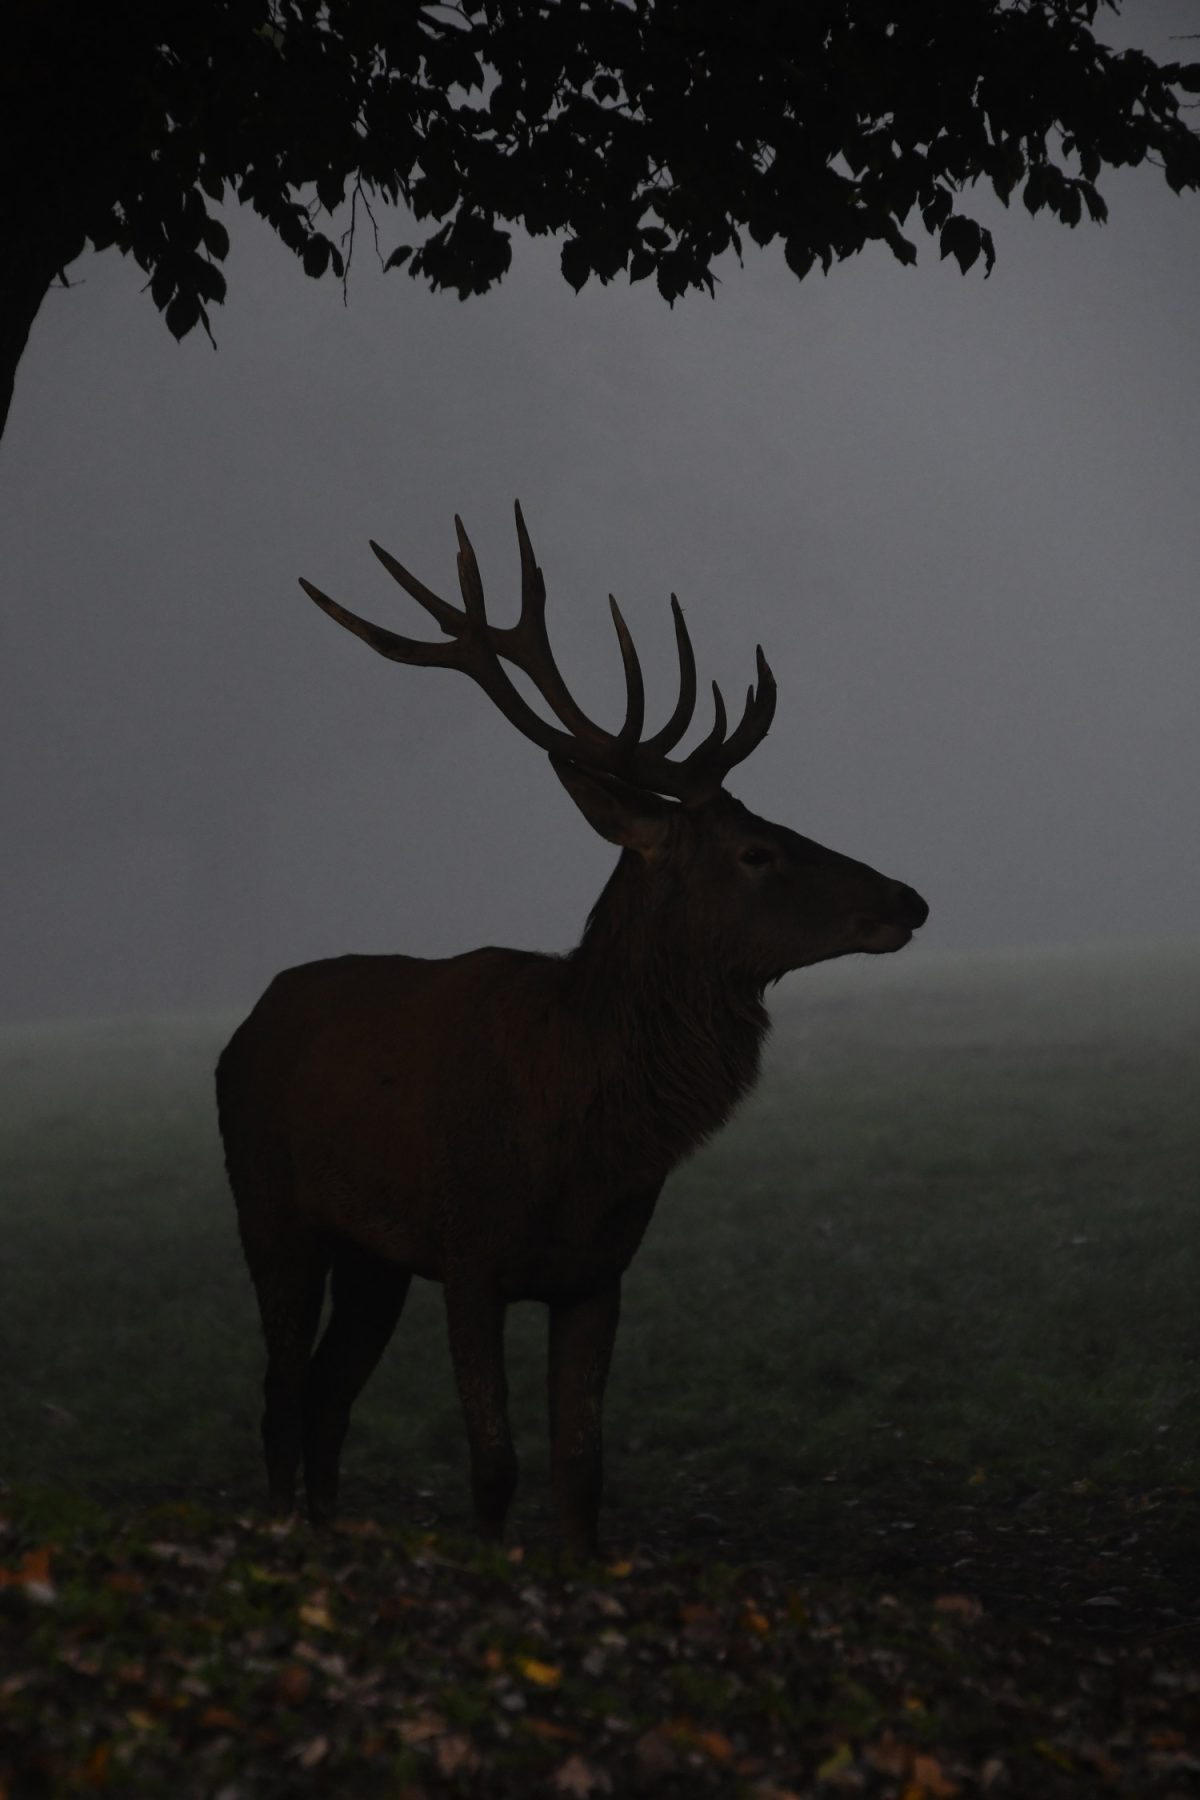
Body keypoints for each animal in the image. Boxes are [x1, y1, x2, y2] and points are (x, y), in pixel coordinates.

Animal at [216, 503, 928, 1561]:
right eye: (757, 851)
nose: (907, 899)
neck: (576, 1137)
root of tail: (246, 1023)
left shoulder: (598, 1272)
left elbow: (581, 1468)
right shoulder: (469, 1255)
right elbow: (495, 1463)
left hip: (374, 1254)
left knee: (330, 1397)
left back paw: (330, 1528)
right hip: (269, 1204)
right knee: (280, 1392)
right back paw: (282, 1528)